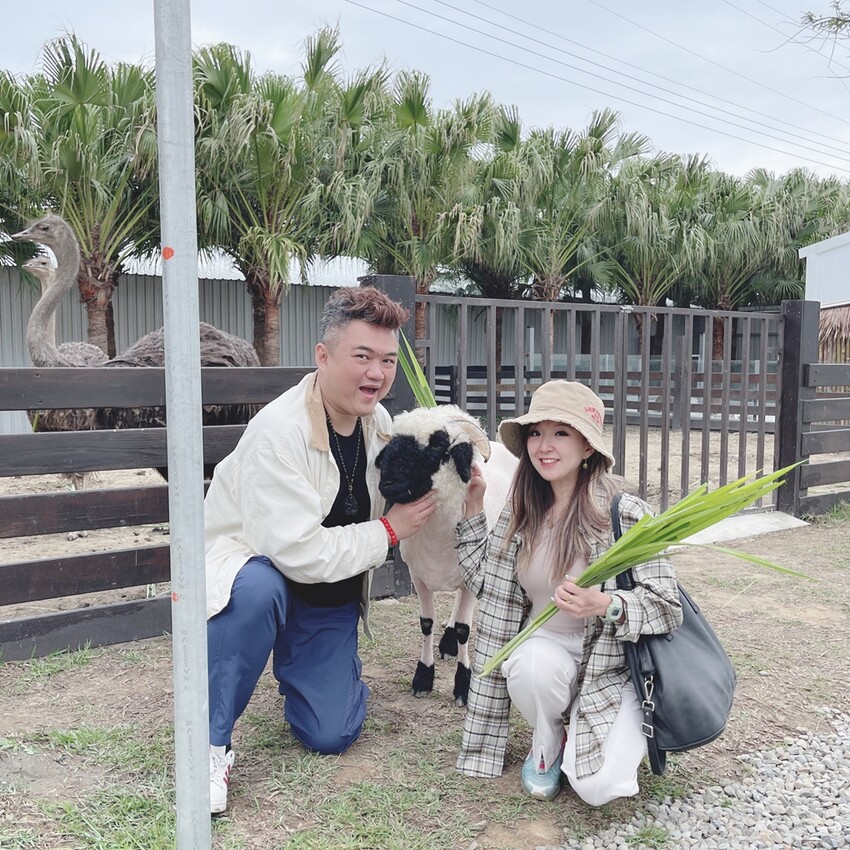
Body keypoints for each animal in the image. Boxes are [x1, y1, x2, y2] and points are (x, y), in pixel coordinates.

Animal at [375, 405, 517, 706]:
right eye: (393, 443)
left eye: (438, 448)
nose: (388, 482)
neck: (437, 538)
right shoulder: (418, 577)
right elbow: (426, 624)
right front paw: (423, 676)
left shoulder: (472, 578)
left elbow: (465, 628)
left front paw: (463, 685)